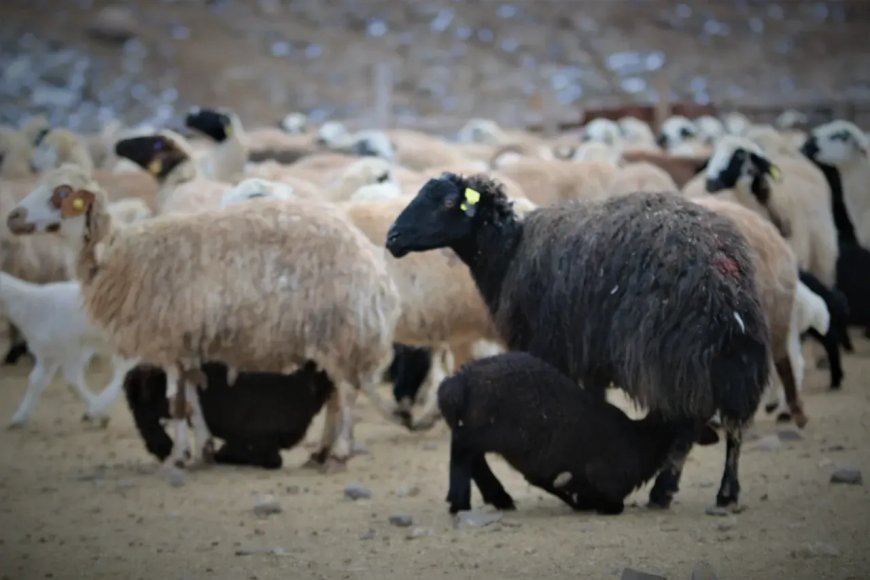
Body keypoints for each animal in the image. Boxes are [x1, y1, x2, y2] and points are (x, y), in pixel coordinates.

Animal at [440, 352, 720, 516]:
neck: (642, 442)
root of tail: (460, 381)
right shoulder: (606, 481)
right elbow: (608, 503)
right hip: (494, 430)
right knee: (462, 446)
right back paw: (460, 501)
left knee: (473, 455)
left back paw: (498, 498)